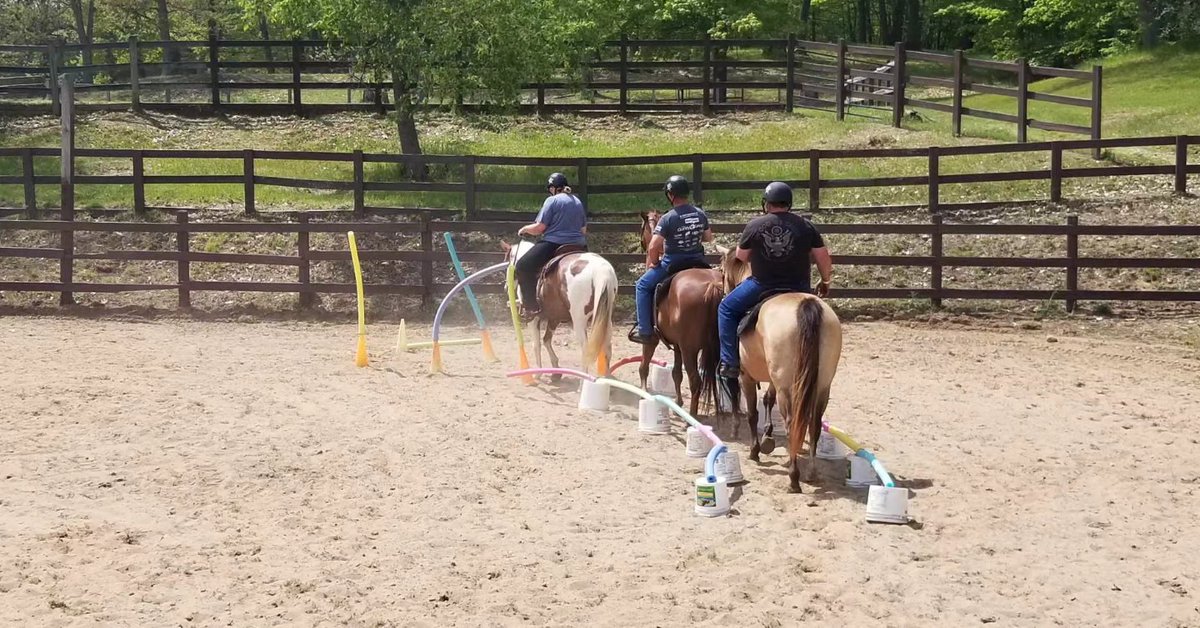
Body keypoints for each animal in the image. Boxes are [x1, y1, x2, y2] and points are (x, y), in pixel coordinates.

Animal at [504, 240, 624, 379]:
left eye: (508, 259)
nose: (506, 286)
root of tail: (601, 271)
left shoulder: (533, 319)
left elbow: (536, 344)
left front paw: (538, 374)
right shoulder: (554, 317)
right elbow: (546, 340)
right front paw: (556, 370)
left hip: (579, 320)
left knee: (586, 348)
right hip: (606, 318)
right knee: (607, 346)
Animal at [638, 211, 720, 417]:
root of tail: (713, 285)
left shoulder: (653, 339)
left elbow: (644, 365)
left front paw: (643, 391)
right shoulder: (677, 345)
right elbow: (676, 373)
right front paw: (678, 402)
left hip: (690, 349)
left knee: (696, 380)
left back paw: (691, 415)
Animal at [715, 243, 840, 494]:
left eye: (722, 271)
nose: (723, 292)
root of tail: (807, 305)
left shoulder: (746, 376)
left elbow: (752, 413)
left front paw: (755, 450)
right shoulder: (773, 379)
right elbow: (767, 400)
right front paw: (768, 438)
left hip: (787, 387)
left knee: (793, 423)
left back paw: (794, 477)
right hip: (822, 385)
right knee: (813, 424)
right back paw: (811, 472)